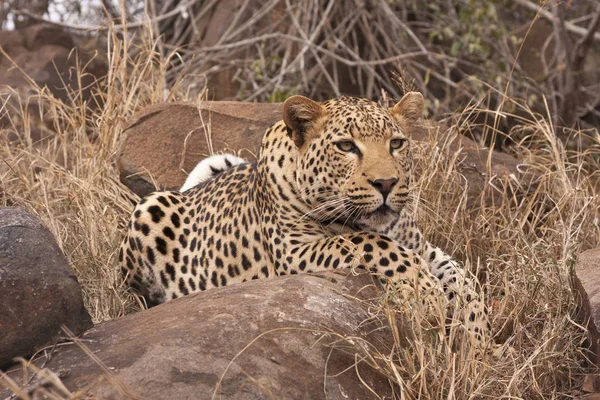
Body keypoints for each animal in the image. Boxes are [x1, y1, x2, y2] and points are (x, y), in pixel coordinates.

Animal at [118, 93, 492, 350]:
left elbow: (464, 278)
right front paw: (427, 296)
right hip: (150, 209)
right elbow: (369, 243)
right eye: (346, 146)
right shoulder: (295, 251)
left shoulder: (421, 246)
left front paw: (478, 344)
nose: (386, 183)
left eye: (397, 143)